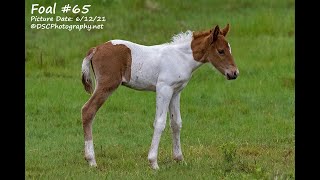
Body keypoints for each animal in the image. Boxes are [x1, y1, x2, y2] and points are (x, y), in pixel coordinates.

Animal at [81, 23, 239, 169]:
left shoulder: (176, 92)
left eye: (230, 49)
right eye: (221, 51)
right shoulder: (164, 89)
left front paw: (179, 159)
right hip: (107, 85)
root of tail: (96, 49)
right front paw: (153, 162)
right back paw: (91, 160)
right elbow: (160, 123)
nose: (234, 73)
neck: (180, 58)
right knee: (88, 110)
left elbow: (176, 123)